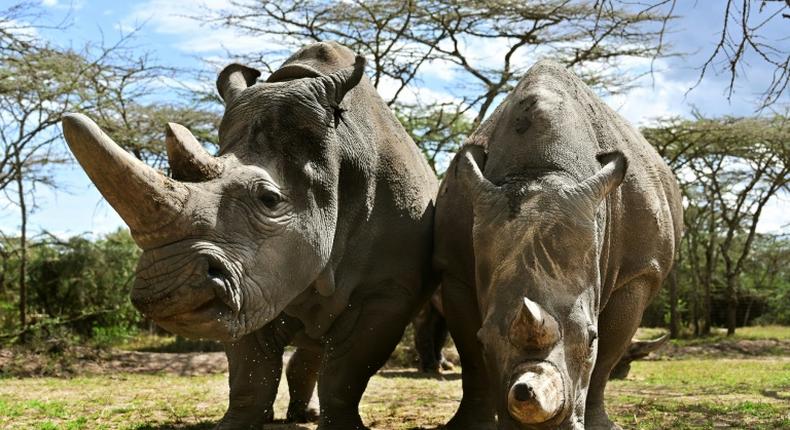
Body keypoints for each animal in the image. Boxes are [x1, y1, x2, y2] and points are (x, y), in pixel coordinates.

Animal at [62, 41, 440, 430]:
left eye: (270, 200)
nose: (164, 290)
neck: (338, 153)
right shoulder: (250, 284)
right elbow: (251, 371)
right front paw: (234, 425)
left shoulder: (388, 290)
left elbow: (346, 371)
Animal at [436, 61, 684, 430]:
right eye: (485, 340)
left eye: (590, 337)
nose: (527, 397)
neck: (540, 168)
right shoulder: (453, 266)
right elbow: (470, 353)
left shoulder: (640, 271)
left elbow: (607, 354)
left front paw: (601, 425)